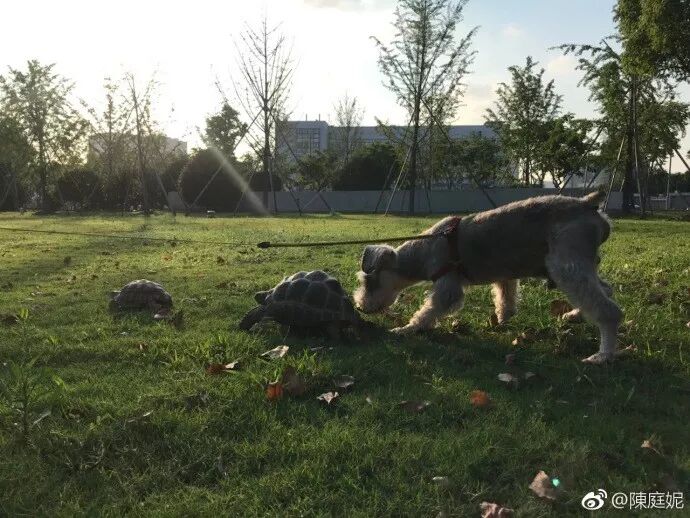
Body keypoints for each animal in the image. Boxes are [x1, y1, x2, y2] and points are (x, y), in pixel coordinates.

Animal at [354, 191, 623, 364]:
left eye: (368, 281)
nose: (360, 306)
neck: (425, 249)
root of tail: (587, 204)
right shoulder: (505, 276)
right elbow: (506, 298)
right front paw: (503, 318)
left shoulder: (448, 285)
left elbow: (429, 310)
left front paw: (407, 328)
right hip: (577, 266)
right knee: (605, 290)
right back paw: (574, 315)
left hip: (566, 265)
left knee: (609, 309)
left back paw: (602, 355)